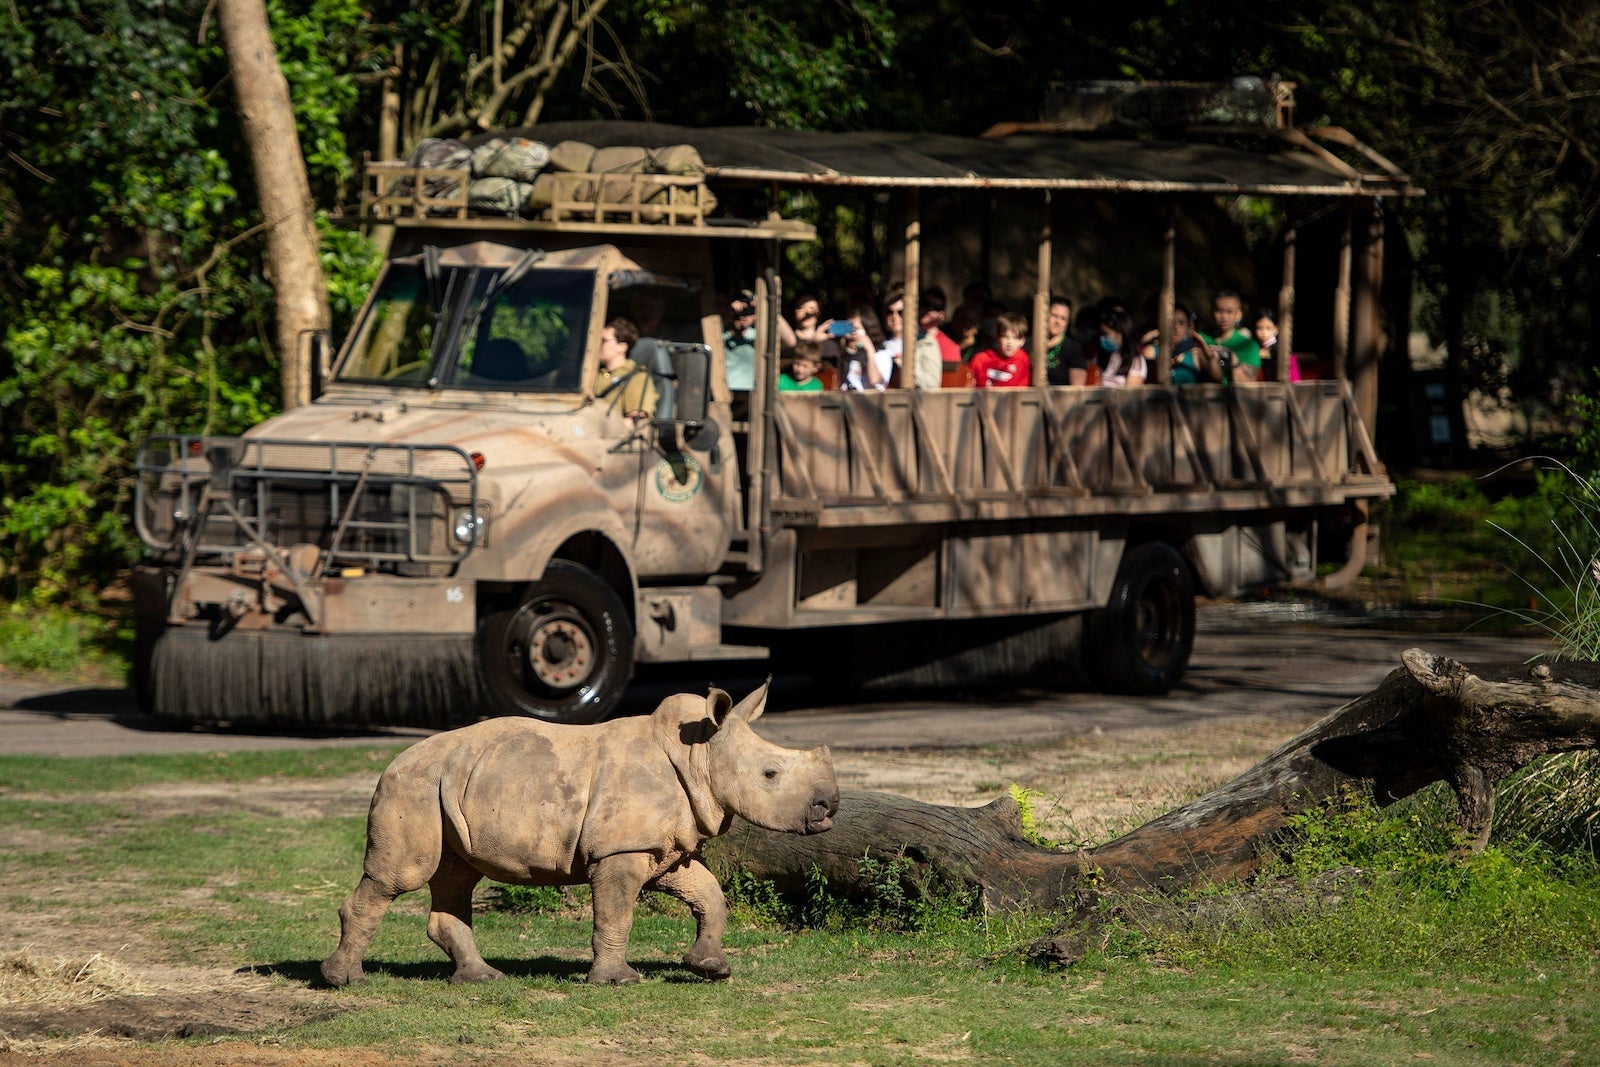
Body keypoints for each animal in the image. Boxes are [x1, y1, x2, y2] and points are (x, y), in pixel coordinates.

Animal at [321, 681, 837, 986]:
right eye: (770, 774)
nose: (829, 806)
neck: (700, 754)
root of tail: (393, 761)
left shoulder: (662, 846)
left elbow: (709, 896)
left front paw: (711, 968)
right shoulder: (619, 850)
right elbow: (616, 915)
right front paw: (618, 980)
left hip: (450, 785)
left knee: (456, 875)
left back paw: (483, 978)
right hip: (414, 786)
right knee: (400, 876)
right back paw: (346, 980)